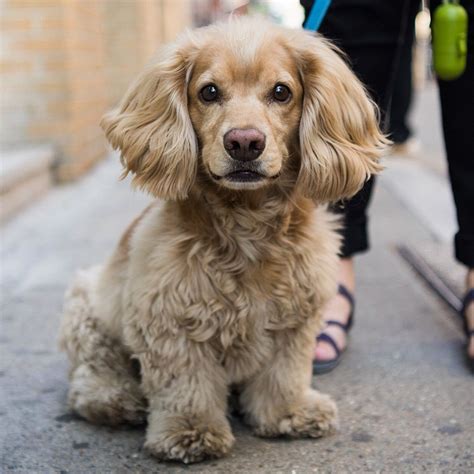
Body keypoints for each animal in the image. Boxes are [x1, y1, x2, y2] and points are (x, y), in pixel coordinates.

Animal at [58, 17, 386, 462]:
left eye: (281, 92)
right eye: (209, 92)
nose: (245, 142)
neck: (246, 220)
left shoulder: (295, 318)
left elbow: (284, 373)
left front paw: (288, 412)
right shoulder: (169, 318)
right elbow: (185, 384)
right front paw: (191, 432)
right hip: (86, 308)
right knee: (89, 374)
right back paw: (116, 399)